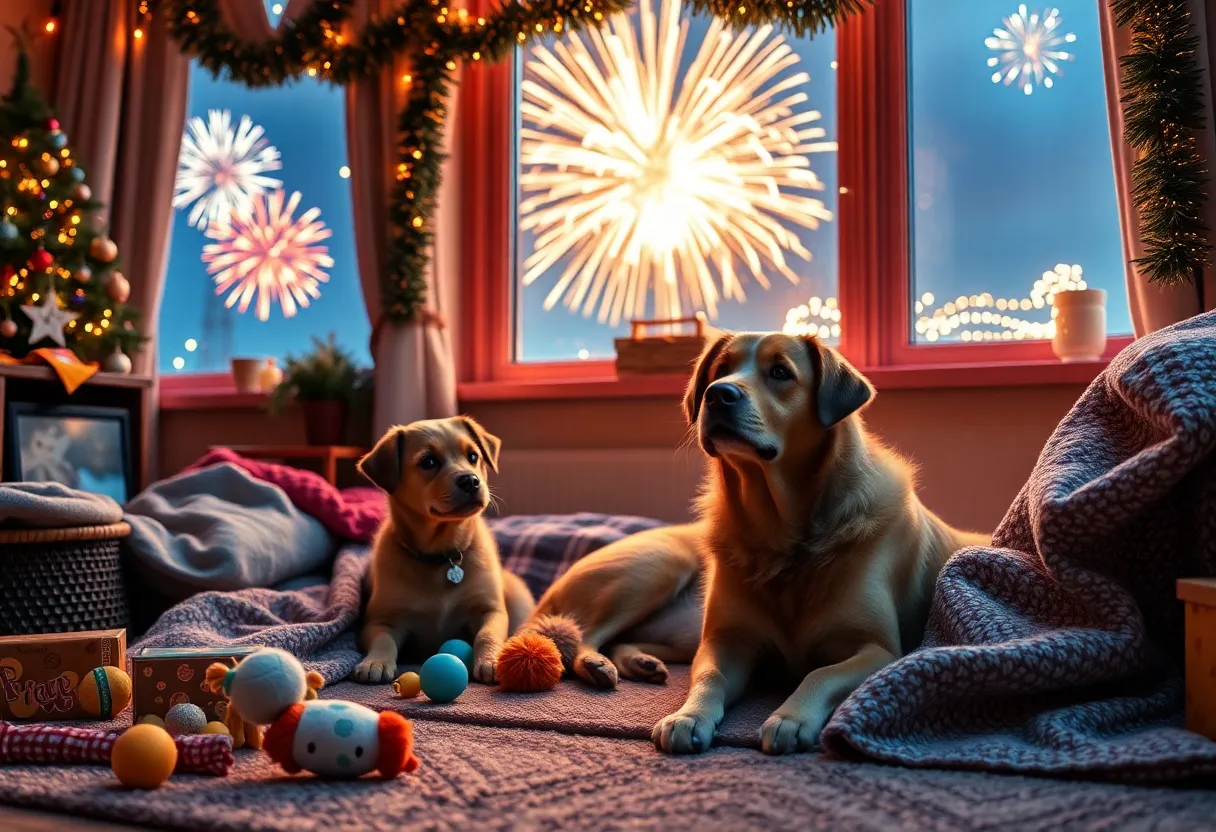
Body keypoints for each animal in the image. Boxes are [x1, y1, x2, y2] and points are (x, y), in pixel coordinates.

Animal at [345, 413, 530, 681]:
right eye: (428, 461)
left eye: (473, 456)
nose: (470, 481)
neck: (443, 554)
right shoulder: (380, 620)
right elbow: (383, 640)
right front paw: (375, 662)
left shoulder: (490, 610)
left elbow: (487, 635)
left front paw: (492, 659)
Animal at [530, 330, 987, 754]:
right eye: (720, 370)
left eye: (780, 372)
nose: (718, 394)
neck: (779, 527)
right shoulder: (726, 641)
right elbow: (709, 676)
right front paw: (688, 716)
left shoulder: (878, 649)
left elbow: (820, 672)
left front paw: (790, 718)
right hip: (658, 568)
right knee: (581, 634)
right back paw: (597, 664)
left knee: (617, 639)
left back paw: (640, 663)